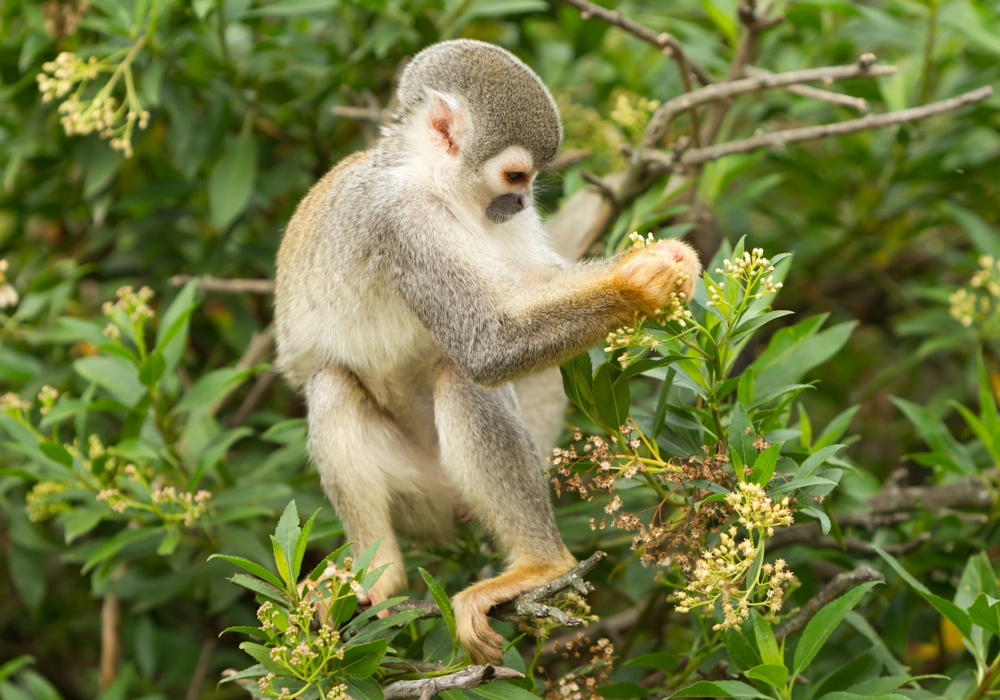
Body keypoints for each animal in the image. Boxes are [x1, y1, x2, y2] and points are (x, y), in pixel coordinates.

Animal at [270, 38, 700, 660]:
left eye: (531, 182)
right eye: (515, 174)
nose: (520, 203)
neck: (435, 183)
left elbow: (531, 290)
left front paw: (668, 264)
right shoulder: (404, 220)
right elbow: (488, 344)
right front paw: (637, 287)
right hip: (420, 492)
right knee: (361, 380)